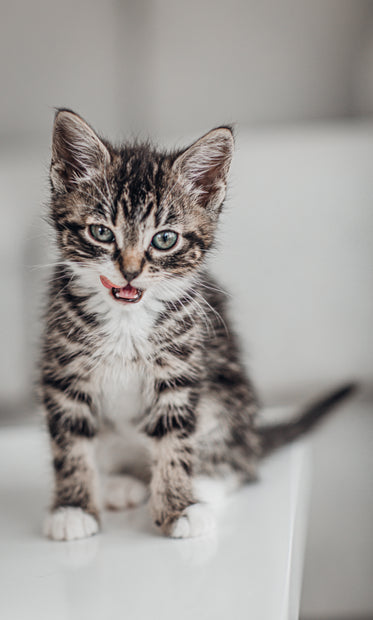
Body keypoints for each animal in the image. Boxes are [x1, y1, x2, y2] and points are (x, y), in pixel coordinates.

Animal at [40, 111, 352, 544]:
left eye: (164, 239)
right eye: (101, 232)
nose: (130, 271)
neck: (126, 319)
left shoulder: (180, 367)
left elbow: (175, 441)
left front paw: (180, 505)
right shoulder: (64, 370)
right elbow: (70, 444)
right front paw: (72, 508)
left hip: (227, 393)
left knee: (242, 462)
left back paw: (204, 482)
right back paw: (123, 482)